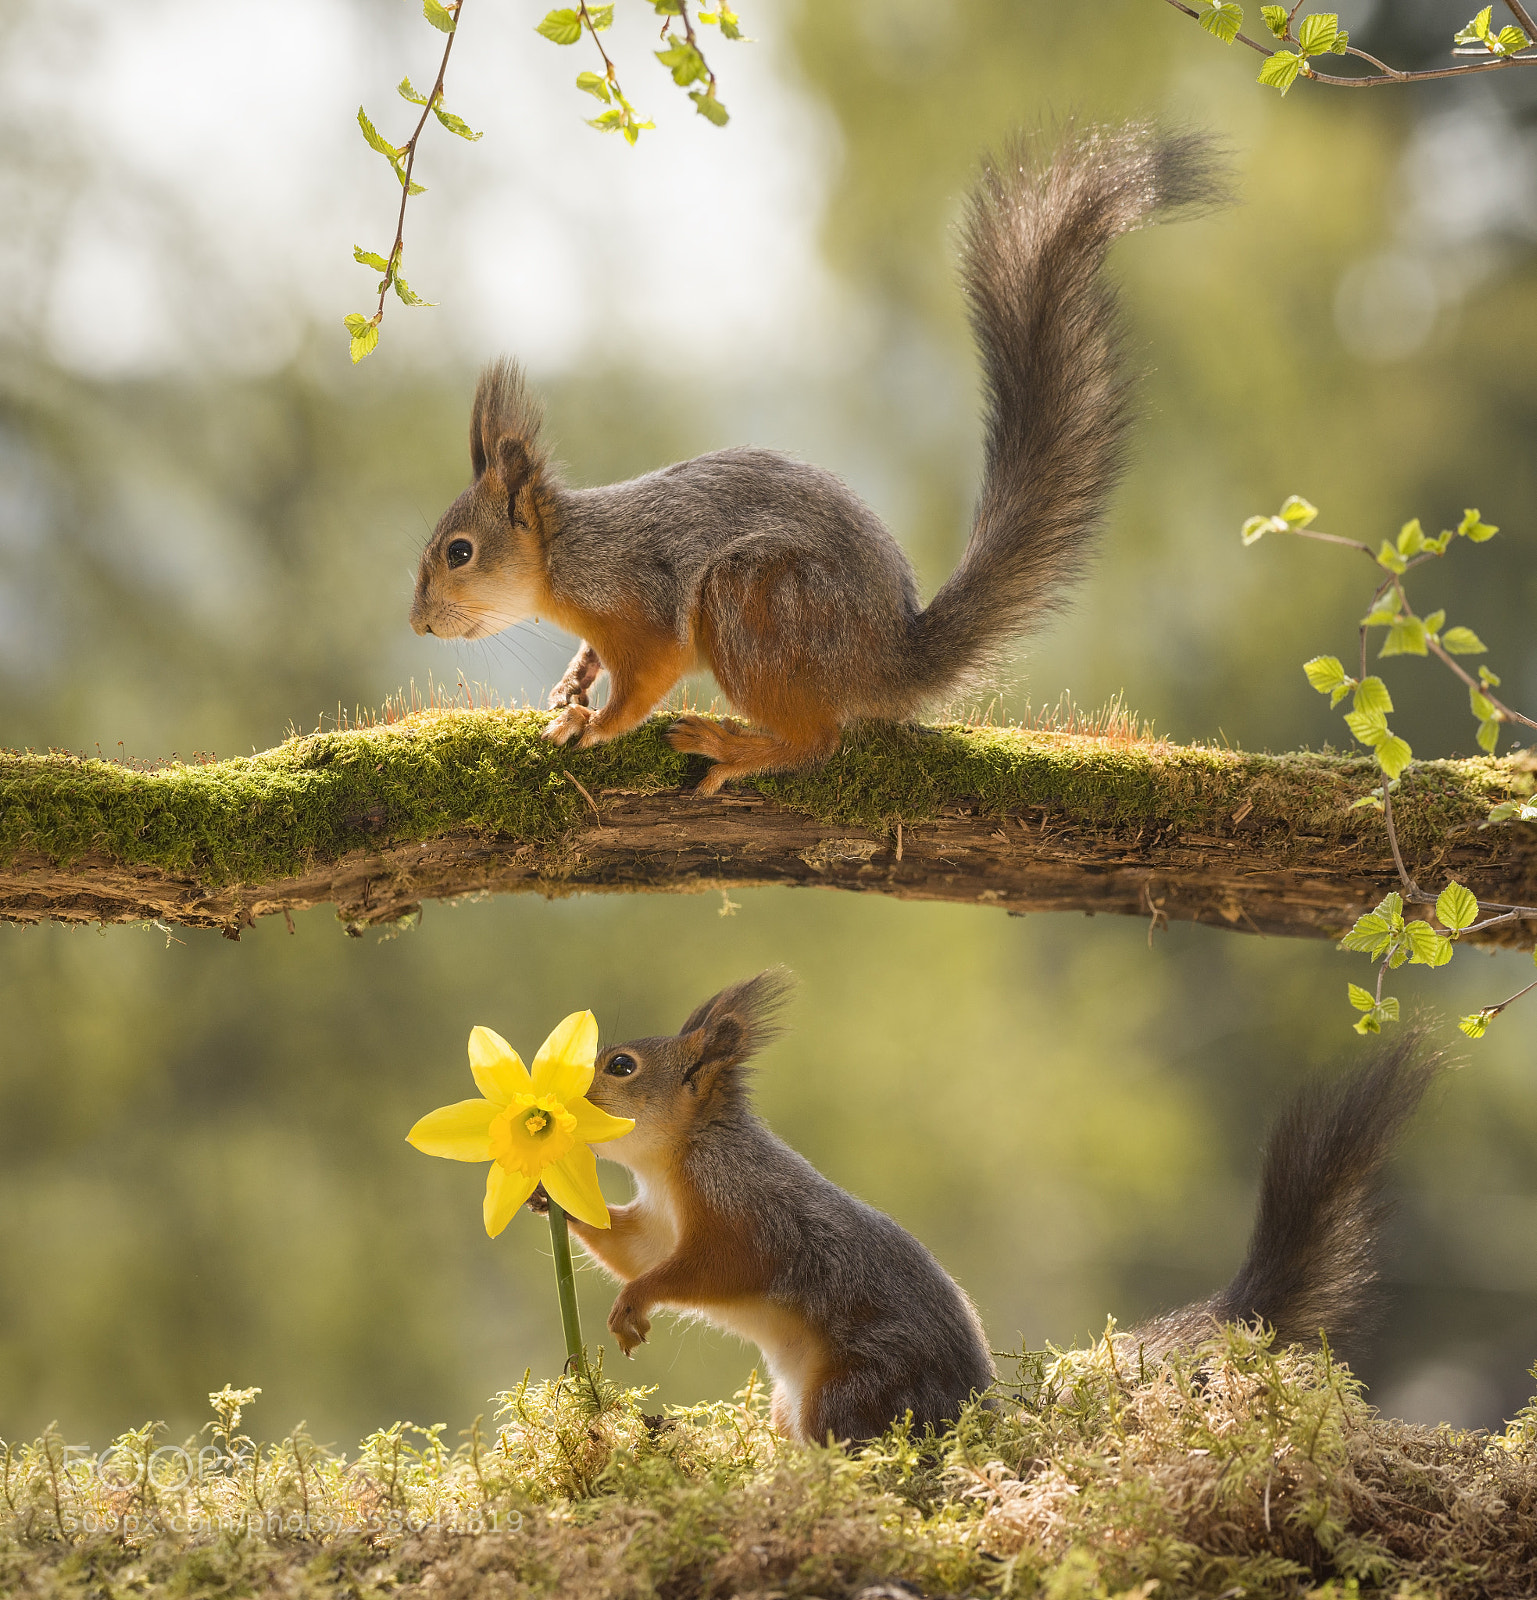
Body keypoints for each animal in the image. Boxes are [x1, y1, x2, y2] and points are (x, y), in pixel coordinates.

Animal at [410, 125, 1229, 794]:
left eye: (459, 552)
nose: (418, 626)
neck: (565, 557)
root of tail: (881, 658)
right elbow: (594, 658)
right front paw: (572, 682)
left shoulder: (639, 603)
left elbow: (647, 679)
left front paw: (595, 724)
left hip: (756, 604)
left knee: (819, 739)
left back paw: (733, 749)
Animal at [534, 971, 1441, 1445]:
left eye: (618, 1065)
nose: (560, 1097)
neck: (671, 1164)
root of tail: (974, 1417)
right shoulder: (658, 1216)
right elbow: (630, 1243)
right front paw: (552, 1203)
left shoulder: (745, 1212)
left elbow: (706, 1269)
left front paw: (634, 1305)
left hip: (857, 1388)